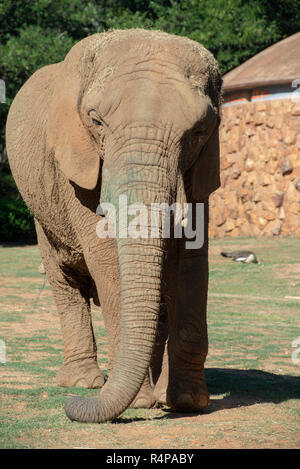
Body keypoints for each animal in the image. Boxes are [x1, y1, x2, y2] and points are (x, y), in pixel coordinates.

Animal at [5, 30, 223, 424]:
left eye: (199, 131)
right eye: (96, 122)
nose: (71, 407)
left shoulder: (200, 167)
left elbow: (192, 259)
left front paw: (187, 402)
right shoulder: (76, 162)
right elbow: (106, 257)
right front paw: (140, 403)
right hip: (42, 210)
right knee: (64, 280)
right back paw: (85, 382)